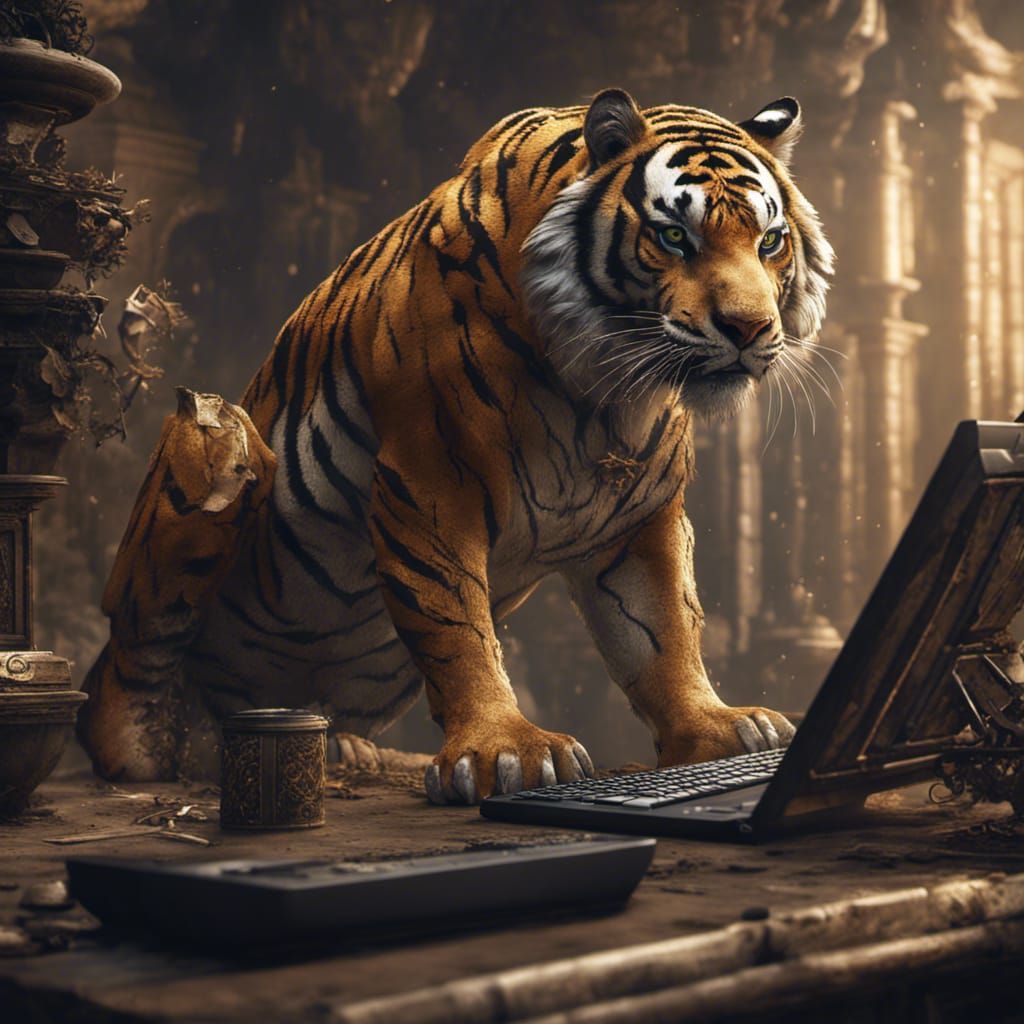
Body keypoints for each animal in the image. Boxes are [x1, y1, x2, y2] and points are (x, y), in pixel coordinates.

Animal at [77, 88, 833, 803]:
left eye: (770, 242)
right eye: (674, 235)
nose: (750, 328)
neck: (603, 390)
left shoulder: (640, 516)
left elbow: (664, 630)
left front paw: (717, 728)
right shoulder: (429, 483)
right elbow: (457, 627)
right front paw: (506, 752)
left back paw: (350, 752)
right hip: (197, 497)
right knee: (125, 687)